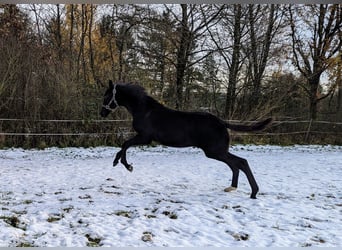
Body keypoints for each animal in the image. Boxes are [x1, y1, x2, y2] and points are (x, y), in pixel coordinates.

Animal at [100, 80, 272, 199]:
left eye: (107, 96)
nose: (101, 113)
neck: (144, 110)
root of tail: (222, 122)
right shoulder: (143, 138)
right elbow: (124, 146)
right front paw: (118, 162)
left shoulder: (145, 138)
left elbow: (125, 144)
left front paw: (126, 165)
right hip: (217, 152)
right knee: (236, 165)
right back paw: (233, 188)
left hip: (215, 151)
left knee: (241, 162)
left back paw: (253, 193)